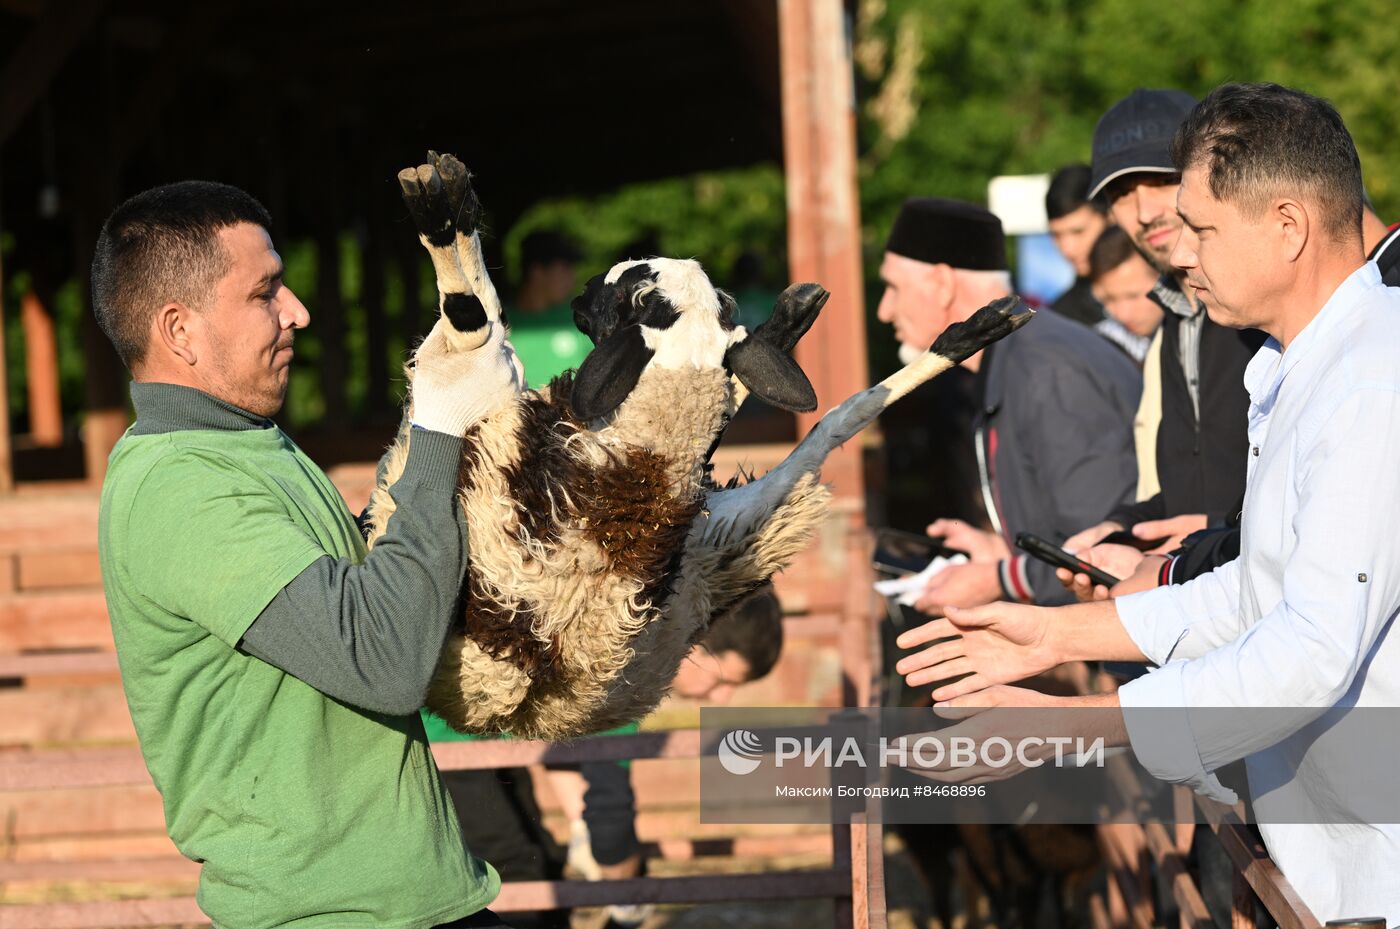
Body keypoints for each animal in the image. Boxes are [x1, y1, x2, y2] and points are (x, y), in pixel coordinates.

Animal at [366, 153, 1036, 738]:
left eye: (626, 286)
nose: (580, 291)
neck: (637, 476)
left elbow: (472, 322)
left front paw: (441, 202)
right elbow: (841, 416)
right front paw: (973, 331)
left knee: (476, 322)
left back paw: (442, 204)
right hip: (722, 542)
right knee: (798, 404)